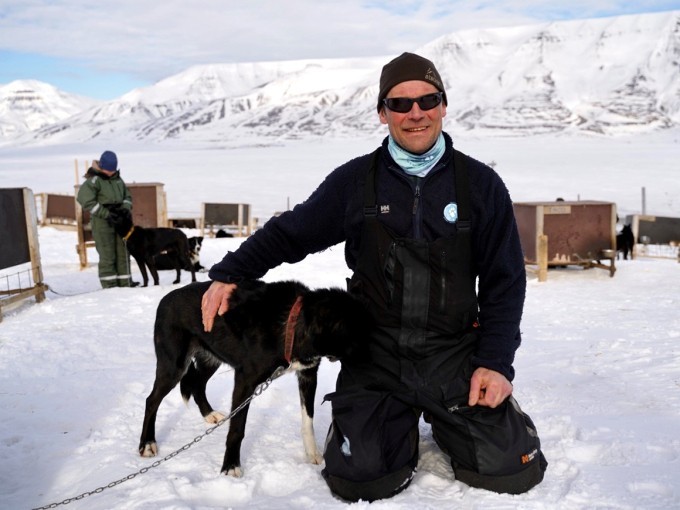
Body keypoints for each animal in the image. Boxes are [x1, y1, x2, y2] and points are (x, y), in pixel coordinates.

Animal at [138, 280, 372, 476]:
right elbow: (237, 430)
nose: (374, 359)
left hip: (210, 358)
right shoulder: (245, 381)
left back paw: (209, 414)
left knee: (197, 385)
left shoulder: (307, 374)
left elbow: (308, 420)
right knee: (152, 400)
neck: (291, 323)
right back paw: (147, 443)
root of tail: (165, 299)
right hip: (173, 366)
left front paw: (312, 452)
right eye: (358, 336)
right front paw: (230, 466)